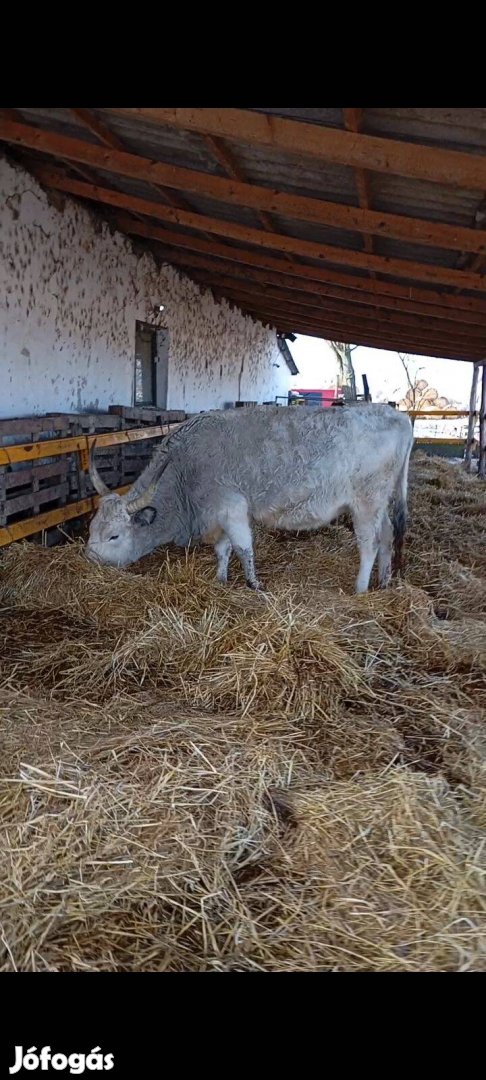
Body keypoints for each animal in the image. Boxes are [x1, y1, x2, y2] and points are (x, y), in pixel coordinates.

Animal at [85, 403, 412, 591]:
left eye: (114, 536)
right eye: (91, 529)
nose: (88, 559)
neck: (185, 470)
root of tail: (398, 415)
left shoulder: (231, 508)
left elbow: (243, 549)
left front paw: (254, 584)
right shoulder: (219, 514)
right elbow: (223, 549)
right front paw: (220, 579)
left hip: (366, 502)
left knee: (369, 543)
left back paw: (360, 588)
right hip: (380, 503)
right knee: (386, 535)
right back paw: (384, 582)